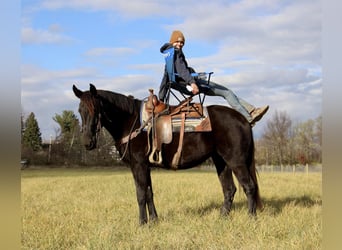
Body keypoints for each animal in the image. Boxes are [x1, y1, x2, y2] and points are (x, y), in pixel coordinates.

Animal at [72, 84, 262, 225]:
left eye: (96, 110)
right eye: (80, 110)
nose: (87, 142)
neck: (130, 121)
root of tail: (244, 119)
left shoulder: (139, 165)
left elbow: (140, 194)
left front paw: (142, 223)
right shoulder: (144, 166)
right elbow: (149, 193)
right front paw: (154, 220)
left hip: (236, 161)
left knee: (249, 187)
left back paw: (250, 218)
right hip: (221, 161)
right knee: (229, 189)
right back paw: (222, 218)